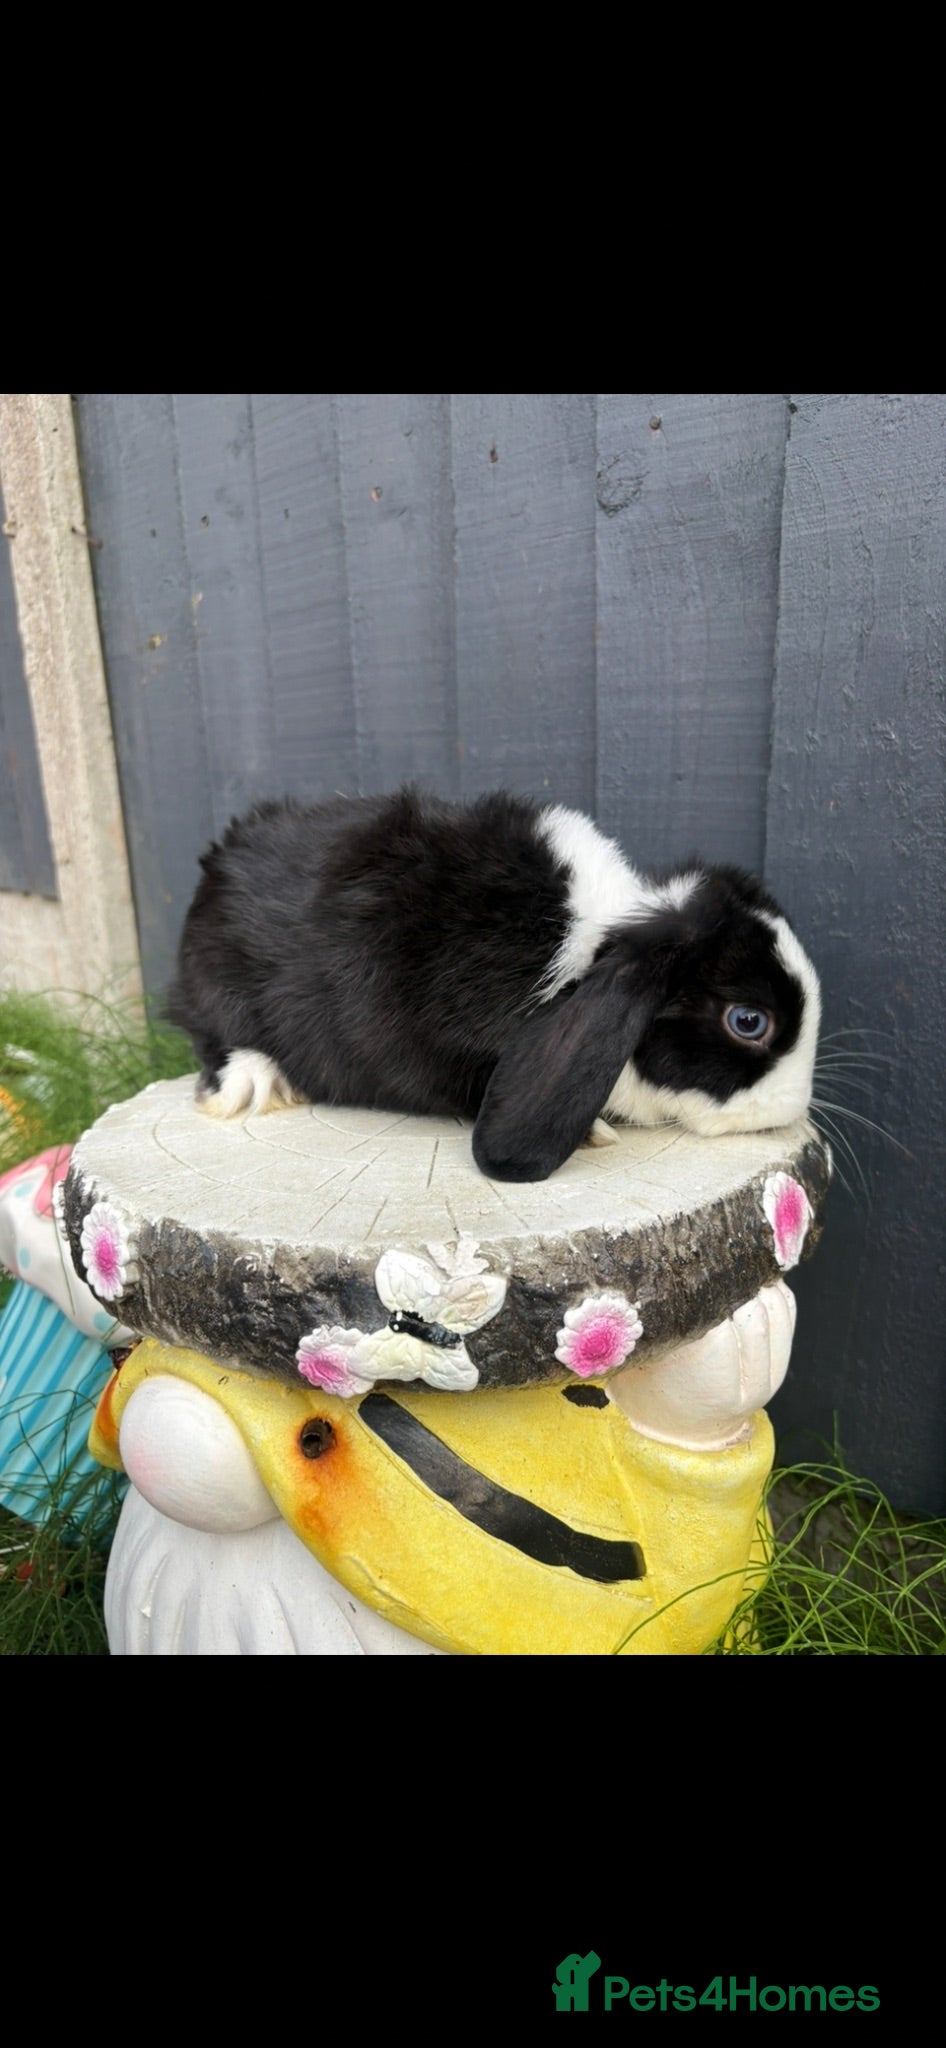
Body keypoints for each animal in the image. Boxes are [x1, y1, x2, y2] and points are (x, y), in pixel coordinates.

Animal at [167, 787, 821, 1183]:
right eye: (748, 1022)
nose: (794, 1107)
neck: (589, 947)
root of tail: (215, 866)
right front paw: (594, 1132)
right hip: (216, 994)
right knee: (215, 1038)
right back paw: (255, 1081)